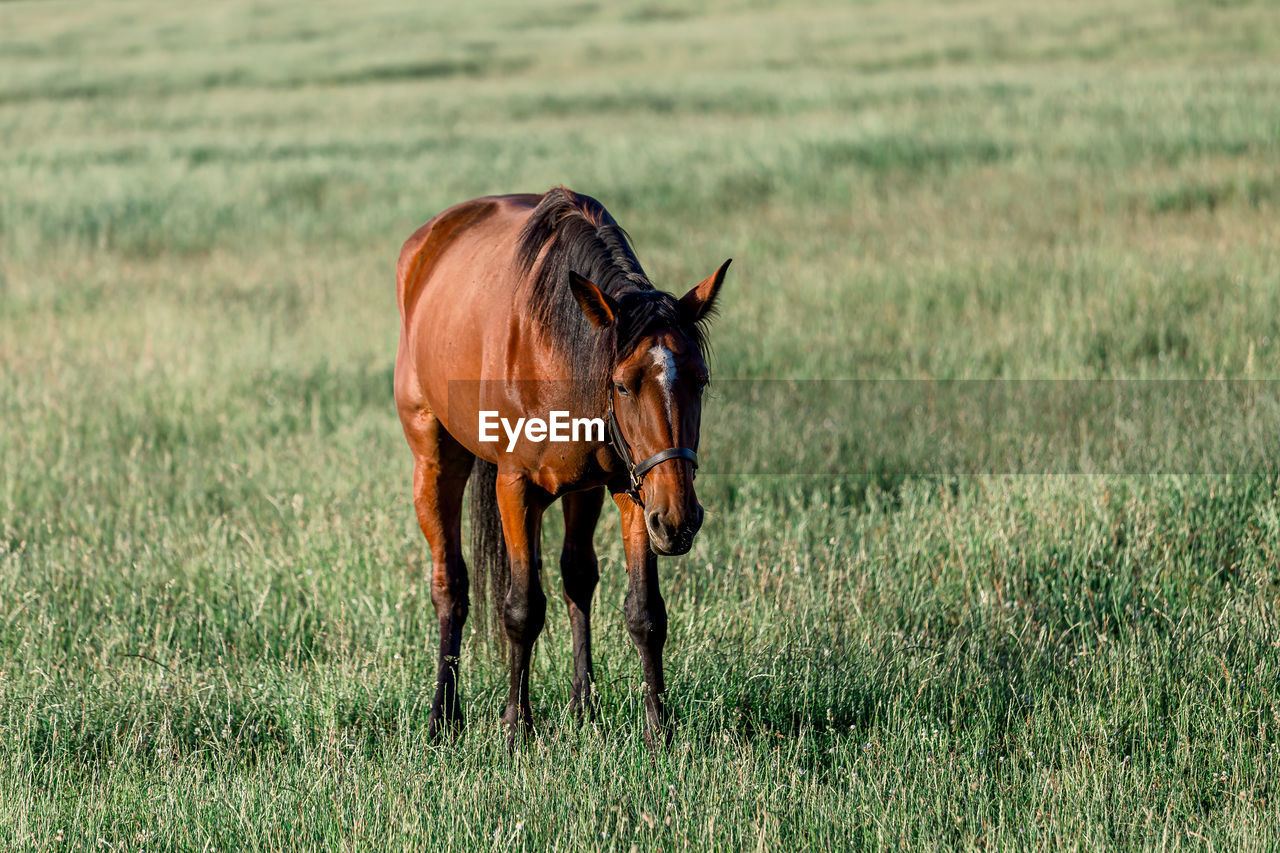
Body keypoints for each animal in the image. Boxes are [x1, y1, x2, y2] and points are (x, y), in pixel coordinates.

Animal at [389, 185, 732, 742]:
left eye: (700, 381)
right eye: (622, 385)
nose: (679, 521)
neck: (556, 349)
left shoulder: (632, 488)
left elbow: (644, 612)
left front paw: (657, 730)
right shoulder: (516, 488)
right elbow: (522, 609)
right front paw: (515, 729)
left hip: (587, 490)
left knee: (577, 576)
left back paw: (582, 704)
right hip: (433, 458)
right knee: (451, 586)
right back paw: (443, 714)